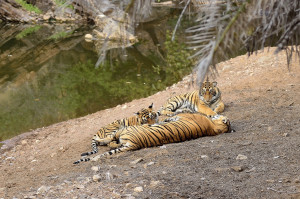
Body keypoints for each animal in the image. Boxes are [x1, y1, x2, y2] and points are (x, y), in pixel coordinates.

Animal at [72, 112, 232, 164]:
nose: (215, 114)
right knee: (110, 143)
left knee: (107, 141)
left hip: (122, 131)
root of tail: (135, 143)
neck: (214, 127)